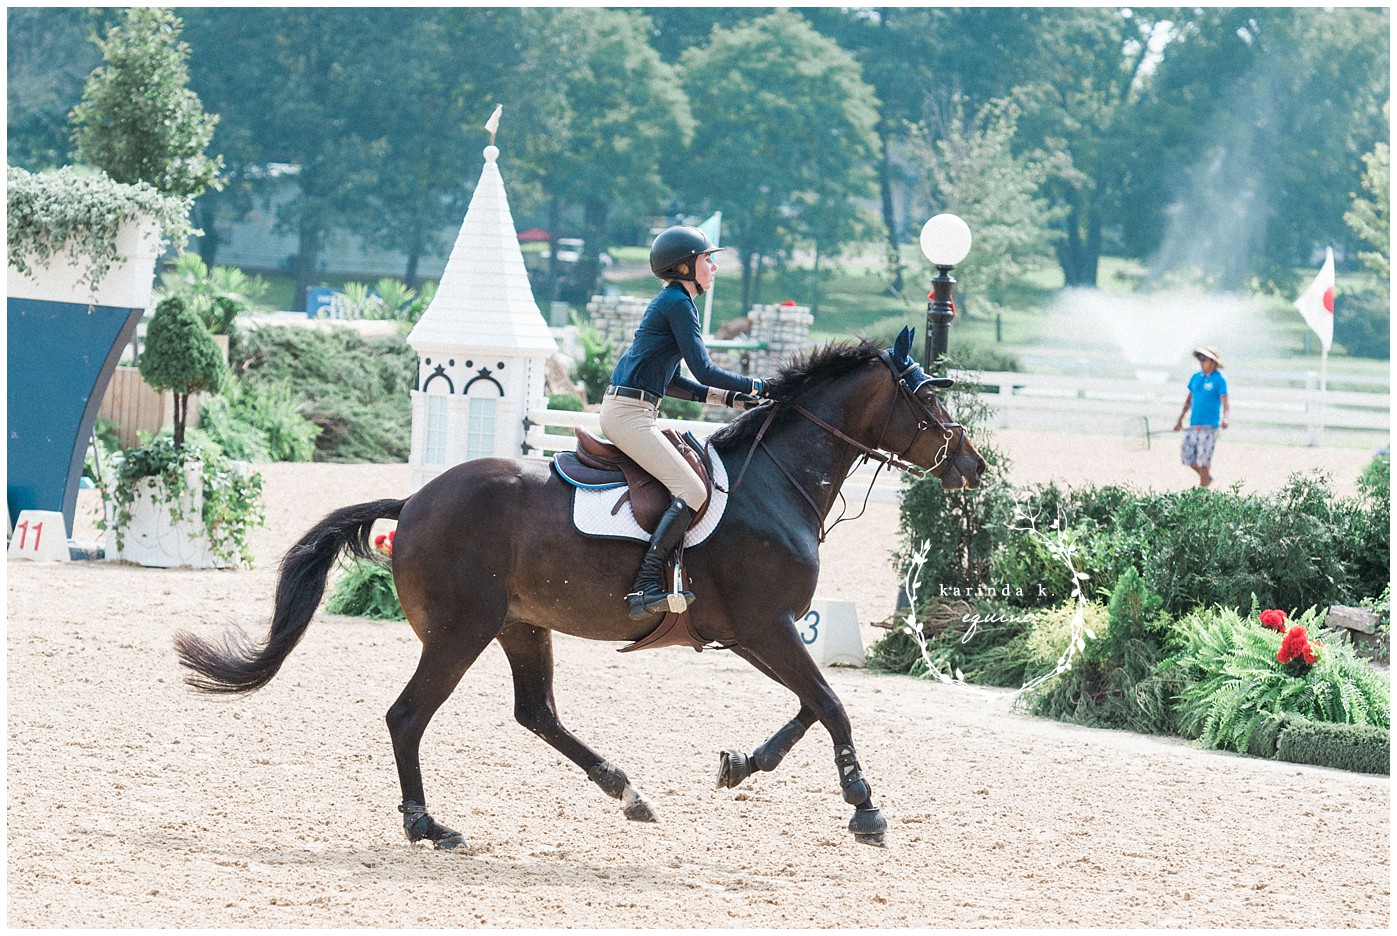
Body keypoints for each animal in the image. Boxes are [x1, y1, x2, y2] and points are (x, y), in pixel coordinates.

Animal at [173, 326, 985, 850]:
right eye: (930, 403)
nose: (972, 467)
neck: (776, 483)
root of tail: (414, 502)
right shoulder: (766, 625)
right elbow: (831, 704)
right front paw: (864, 807)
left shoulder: (753, 631)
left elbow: (808, 708)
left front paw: (739, 766)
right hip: (462, 630)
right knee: (408, 716)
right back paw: (427, 825)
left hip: (520, 626)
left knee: (536, 713)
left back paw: (627, 791)